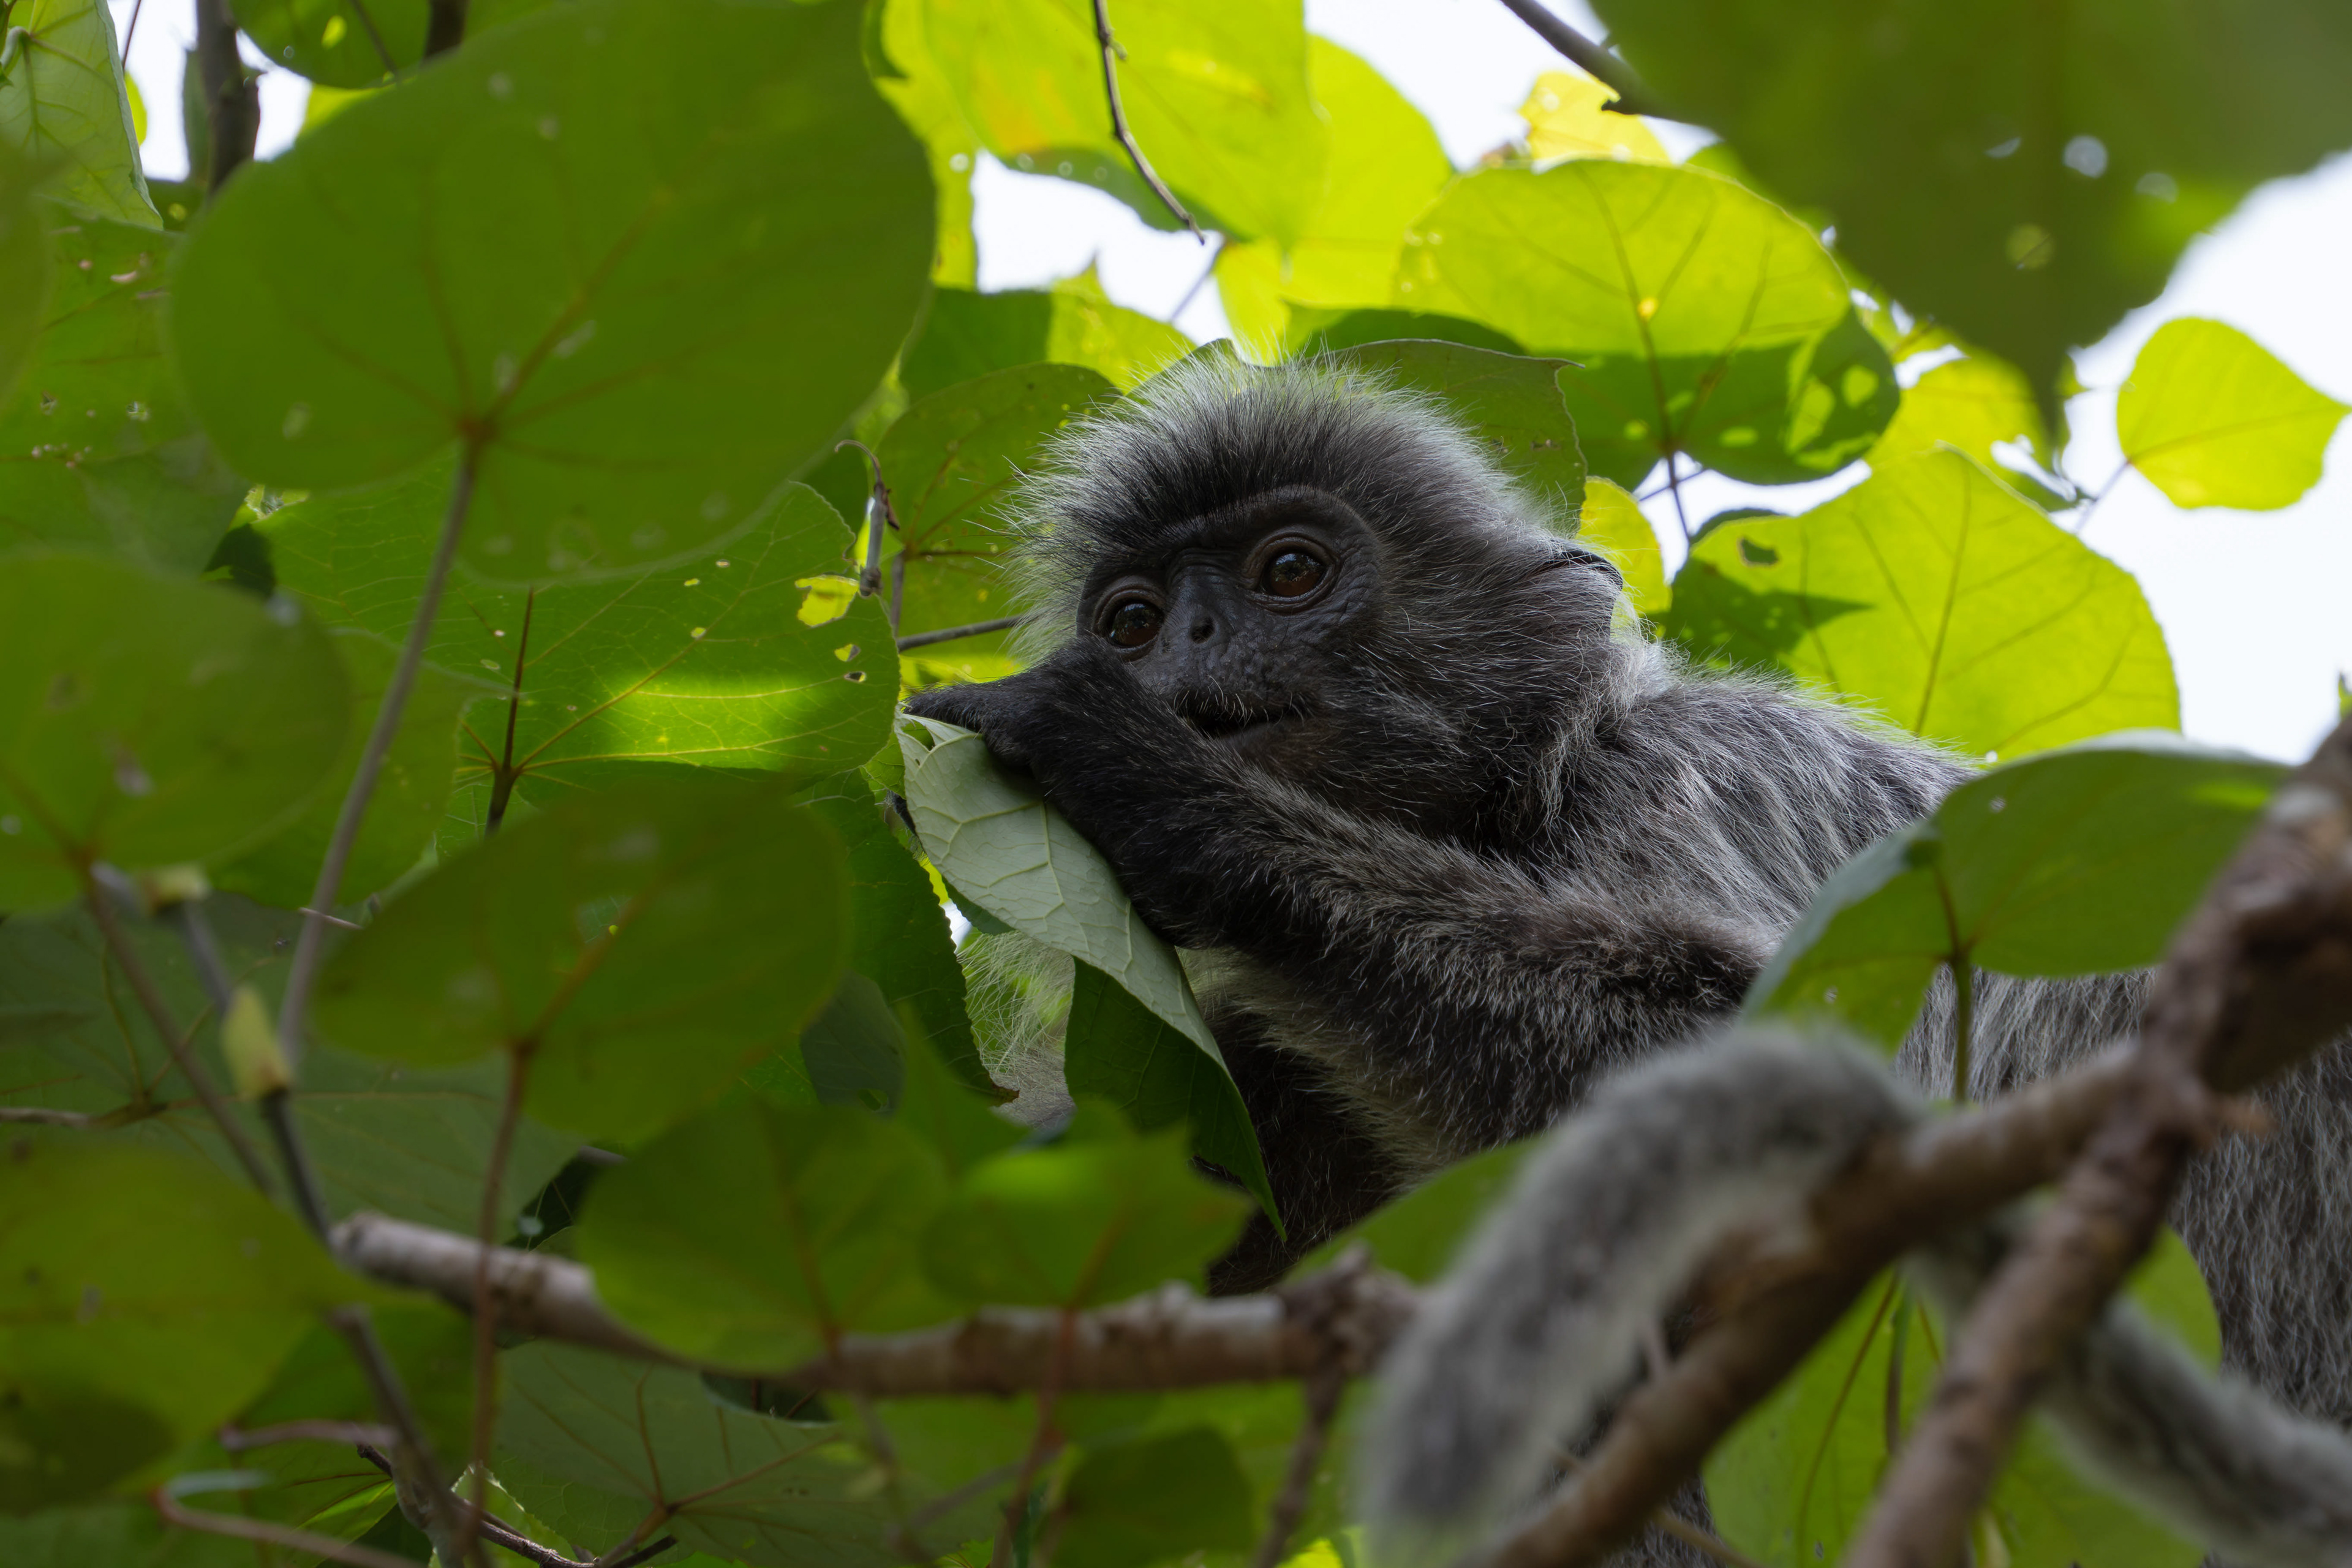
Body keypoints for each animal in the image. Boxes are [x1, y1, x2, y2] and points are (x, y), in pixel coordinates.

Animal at [901, 354, 2352, 1550]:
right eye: (1133, 618)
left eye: (1289, 572)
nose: (1188, 644)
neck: (1523, 804)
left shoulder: (1686, 781)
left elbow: (1735, 1045)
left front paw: (1165, 791)